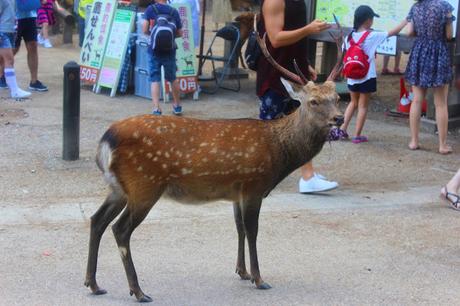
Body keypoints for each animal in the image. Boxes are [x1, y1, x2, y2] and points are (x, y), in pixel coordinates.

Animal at [85, 22, 344, 304]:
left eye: (337, 98)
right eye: (314, 101)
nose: (339, 118)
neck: (278, 153)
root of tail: (106, 140)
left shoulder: (236, 191)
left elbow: (239, 228)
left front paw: (242, 271)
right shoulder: (254, 183)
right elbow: (252, 230)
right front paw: (259, 279)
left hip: (118, 188)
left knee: (96, 220)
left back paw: (93, 283)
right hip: (144, 184)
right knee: (120, 229)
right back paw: (138, 291)